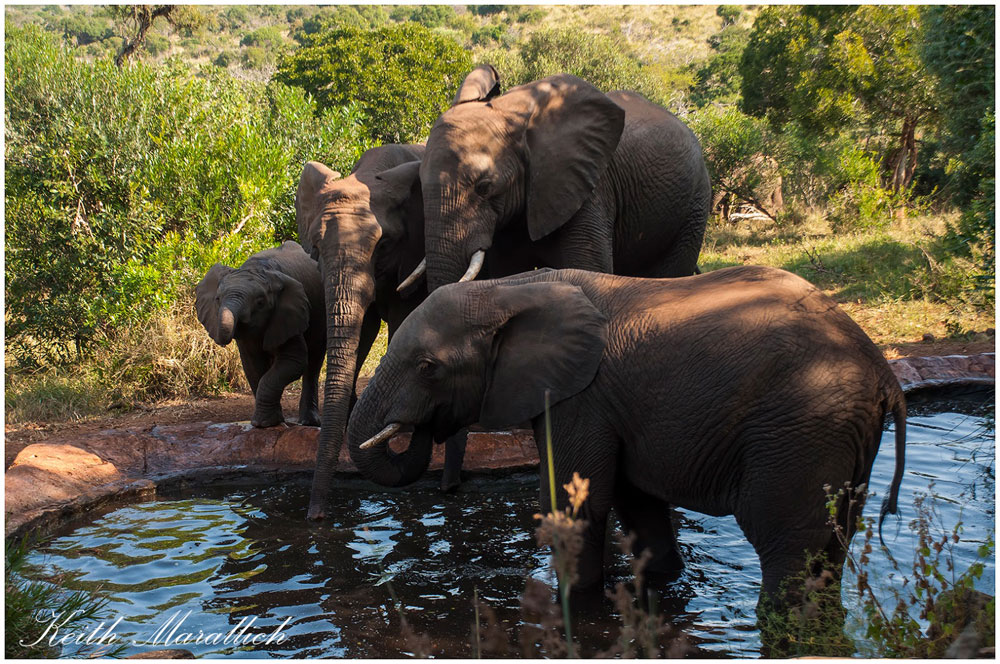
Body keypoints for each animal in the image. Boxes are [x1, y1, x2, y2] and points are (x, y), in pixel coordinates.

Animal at [193, 241, 322, 428]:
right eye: (217, 299)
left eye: (260, 303)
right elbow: (252, 364)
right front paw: (267, 423)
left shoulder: (289, 314)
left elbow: (294, 360)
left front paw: (264, 423)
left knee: (314, 361)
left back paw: (309, 422)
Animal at [294, 144, 470, 520]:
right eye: (315, 246)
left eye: (384, 244)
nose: (315, 516)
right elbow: (363, 326)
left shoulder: (414, 252)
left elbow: (404, 318)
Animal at [348, 266, 912, 612]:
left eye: (428, 367)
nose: (418, 429)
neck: (511, 286)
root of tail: (884, 372)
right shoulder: (611, 407)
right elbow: (635, 502)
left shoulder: (581, 397)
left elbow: (576, 505)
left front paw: (573, 604)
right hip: (837, 435)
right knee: (831, 546)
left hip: (801, 430)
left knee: (786, 548)